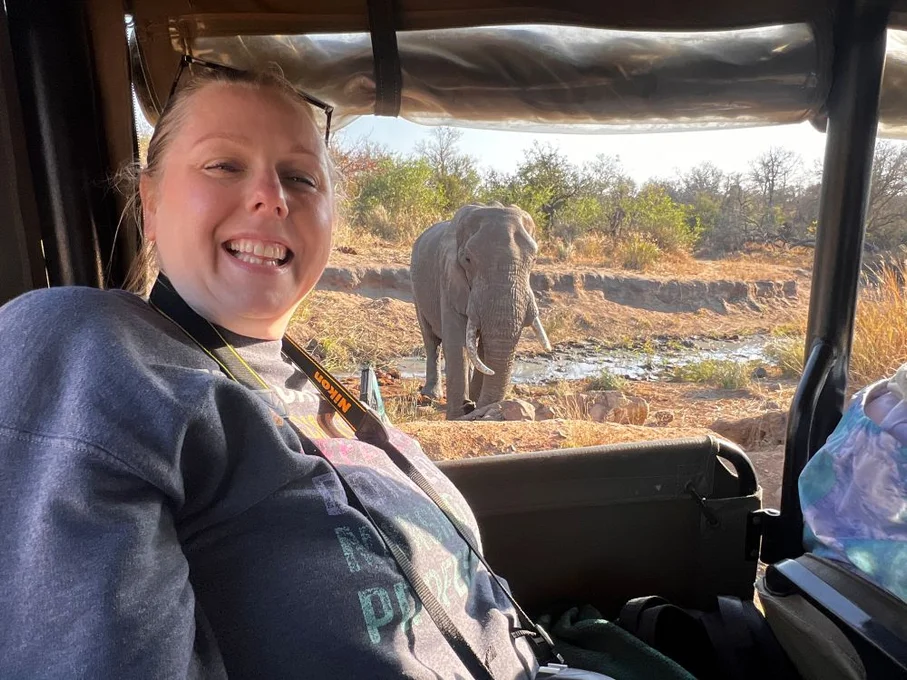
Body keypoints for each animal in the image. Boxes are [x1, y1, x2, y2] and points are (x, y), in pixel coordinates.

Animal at [410, 203, 551, 419]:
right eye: (467, 259)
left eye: (534, 259)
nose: (471, 406)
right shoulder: (447, 277)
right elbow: (455, 343)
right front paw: (457, 416)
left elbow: (485, 346)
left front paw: (472, 405)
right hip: (417, 289)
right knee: (431, 340)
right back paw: (431, 395)